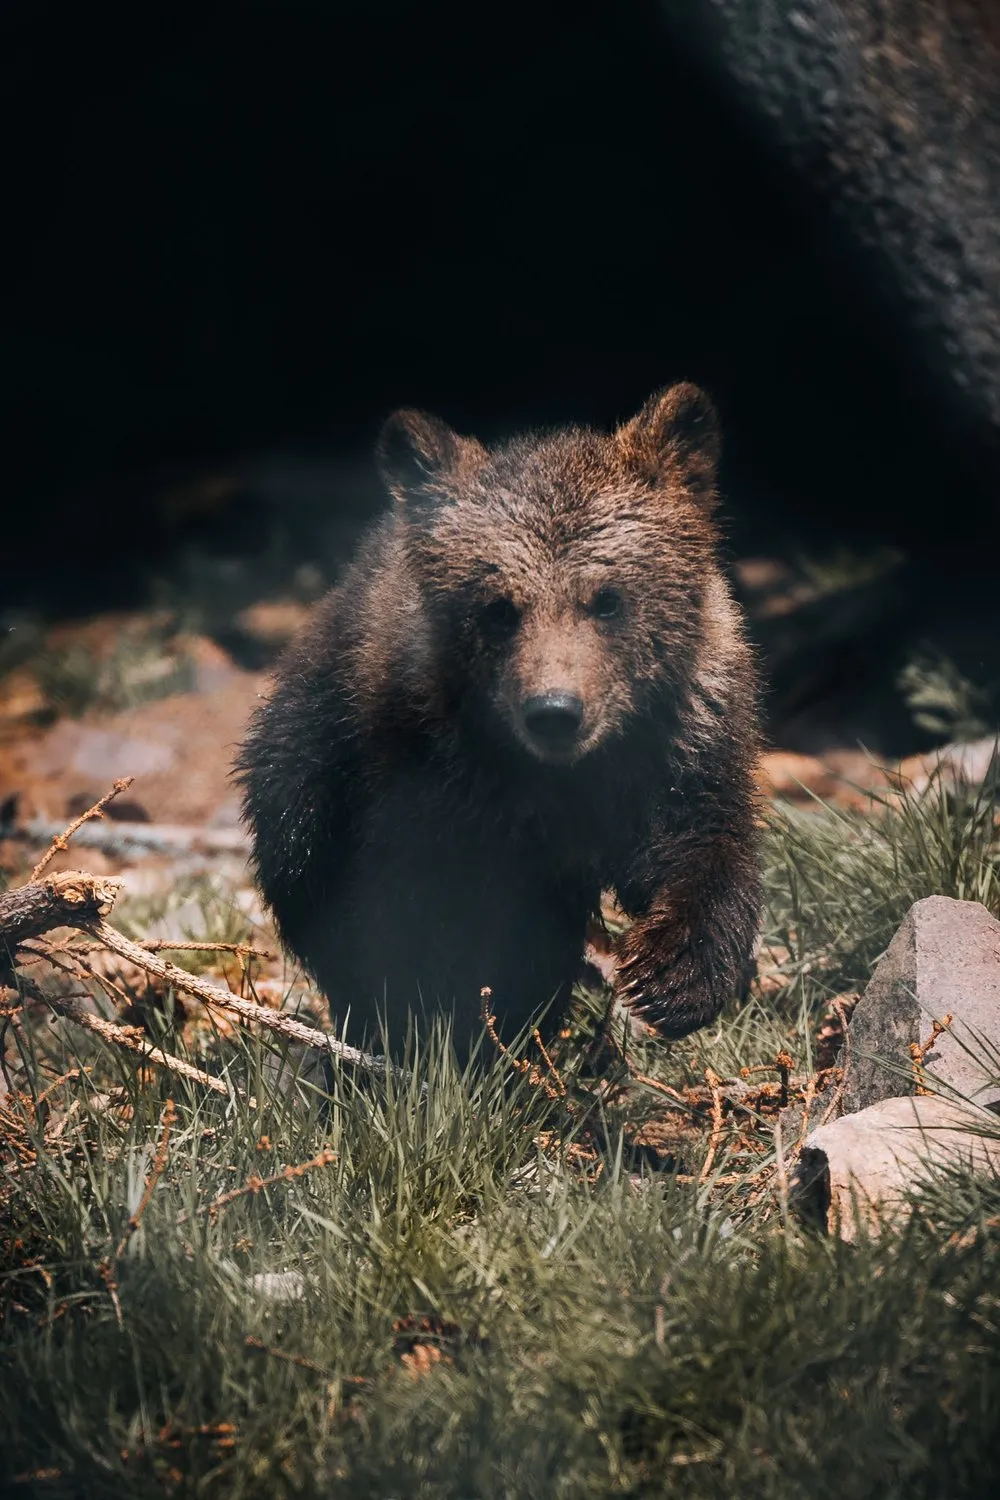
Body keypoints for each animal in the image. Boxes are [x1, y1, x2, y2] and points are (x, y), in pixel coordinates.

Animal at [235, 383, 762, 1058]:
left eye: (608, 598)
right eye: (499, 607)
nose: (555, 712)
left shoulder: (684, 740)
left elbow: (700, 847)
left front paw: (675, 976)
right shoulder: (428, 782)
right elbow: (422, 929)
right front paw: (451, 1033)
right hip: (305, 771)